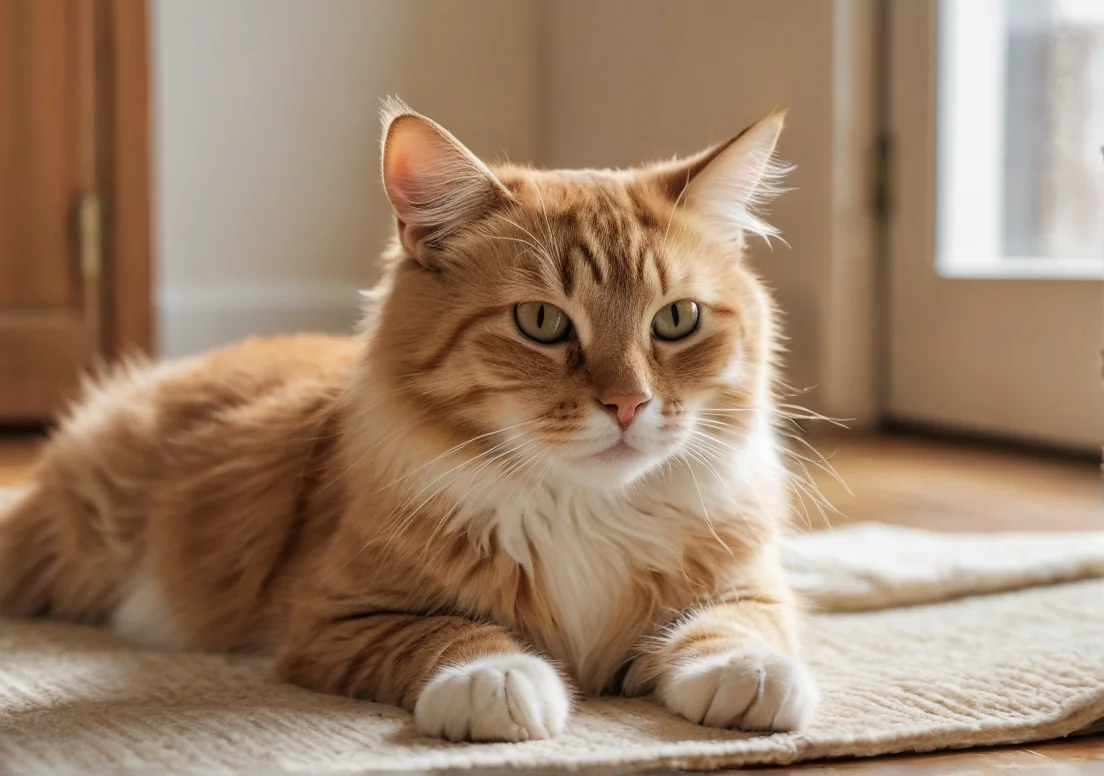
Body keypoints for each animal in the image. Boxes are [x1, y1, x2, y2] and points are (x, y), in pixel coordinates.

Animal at [0, 98, 812, 746]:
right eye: (541, 322)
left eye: (677, 320)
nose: (628, 404)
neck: (584, 510)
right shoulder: (340, 618)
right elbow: (451, 633)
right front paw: (498, 680)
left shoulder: (747, 581)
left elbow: (736, 625)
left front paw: (751, 673)